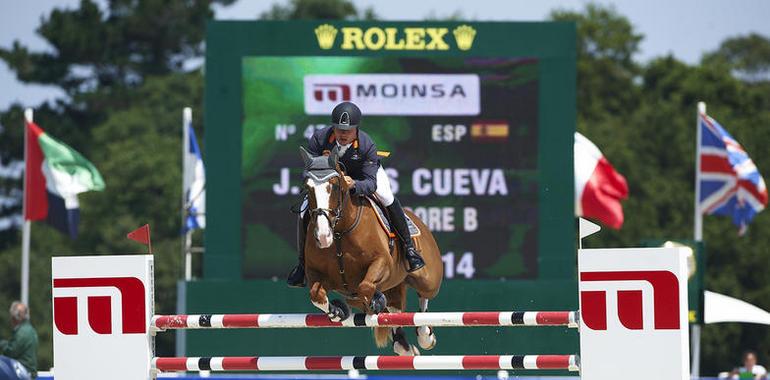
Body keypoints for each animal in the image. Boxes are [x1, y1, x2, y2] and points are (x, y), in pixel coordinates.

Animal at [300, 147, 444, 354]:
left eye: (334, 186)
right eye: (308, 188)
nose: (323, 236)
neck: (339, 232)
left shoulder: (382, 263)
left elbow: (365, 287)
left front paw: (373, 300)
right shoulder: (315, 272)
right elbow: (317, 295)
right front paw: (337, 311)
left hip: (427, 279)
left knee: (423, 298)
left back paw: (425, 336)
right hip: (394, 286)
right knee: (394, 309)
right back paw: (403, 345)